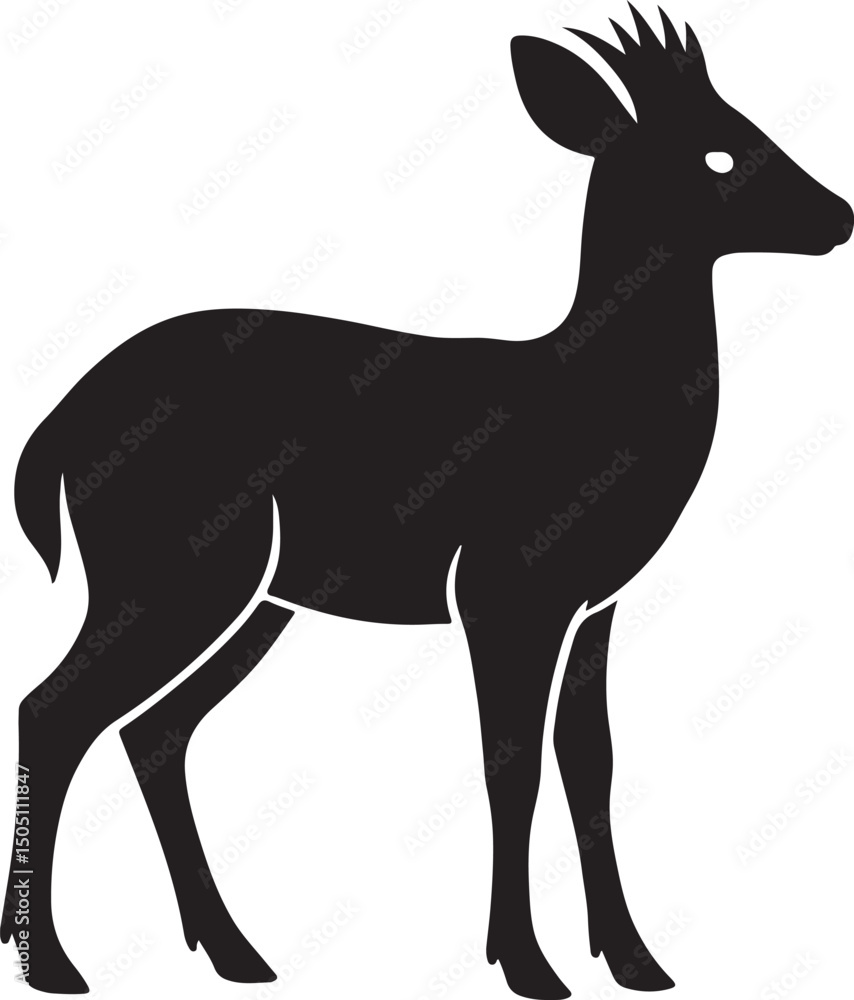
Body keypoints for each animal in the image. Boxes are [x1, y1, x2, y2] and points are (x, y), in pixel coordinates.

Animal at [2, 5, 850, 997]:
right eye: (718, 152)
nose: (841, 217)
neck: (597, 394)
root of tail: (56, 429)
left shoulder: (595, 604)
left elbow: (590, 763)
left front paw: (637, 960)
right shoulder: (503, 591)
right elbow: (508, 765)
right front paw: (527, 964)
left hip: (256, 599)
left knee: (154, 730)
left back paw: (236, 953)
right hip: (175, 576)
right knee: (54, 711)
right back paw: (56, 963)